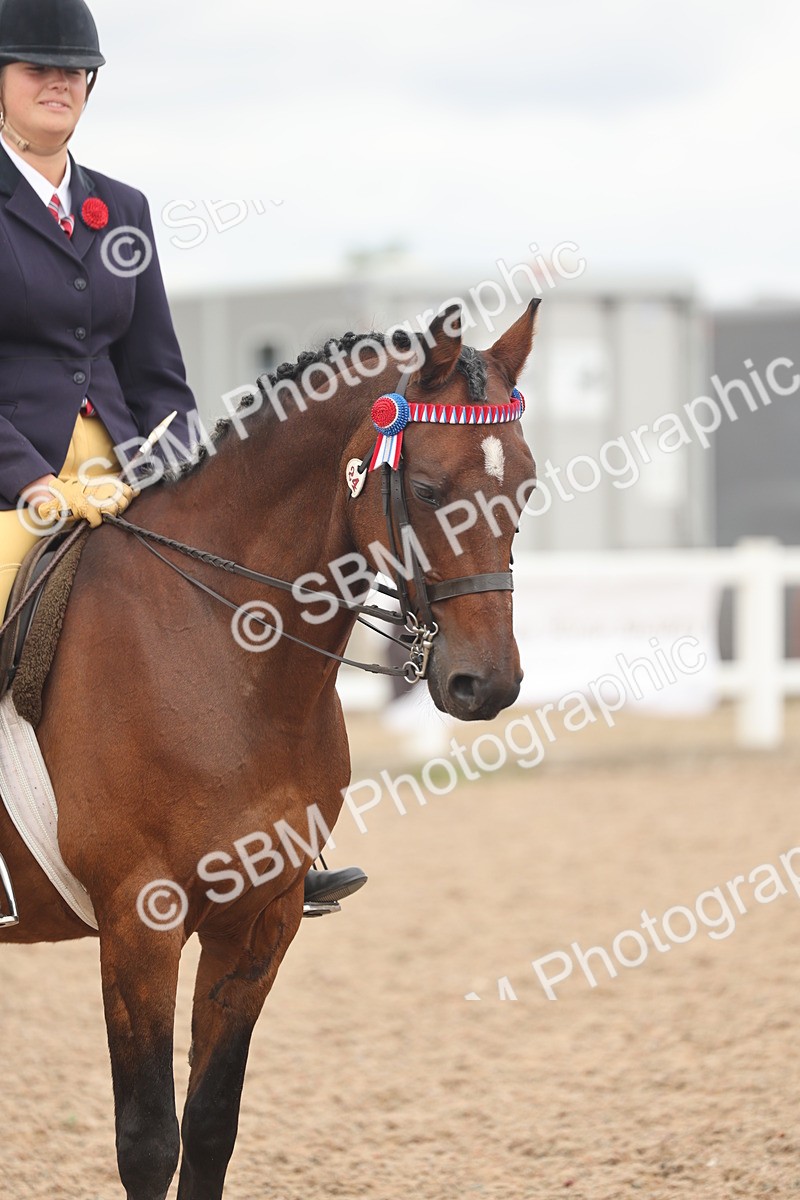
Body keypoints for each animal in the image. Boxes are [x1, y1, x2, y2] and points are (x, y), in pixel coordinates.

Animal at [0, 298, 539, 1200]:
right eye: (428, 490)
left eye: (525, 485)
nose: (485, 684)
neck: (219, 648)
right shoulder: (139, 923)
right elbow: (149, 1142)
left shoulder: (261, 919)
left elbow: (212, 1125)